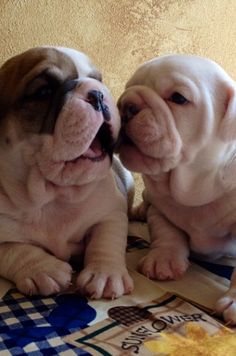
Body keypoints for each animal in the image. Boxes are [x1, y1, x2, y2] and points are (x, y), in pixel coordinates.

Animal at [0, 46, 135, 298]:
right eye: (43, 91)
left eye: (97, 79)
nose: (98, 94)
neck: (54, 193)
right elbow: (14, 249)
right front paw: (43, 268)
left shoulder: (111, 211)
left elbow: (107, 238)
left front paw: (105, 273)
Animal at [118, 54, 236, 324]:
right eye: (128, 88)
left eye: (179, 98)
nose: (124, 105)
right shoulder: (161, 206)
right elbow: (166, 232)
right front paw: (163, 260)